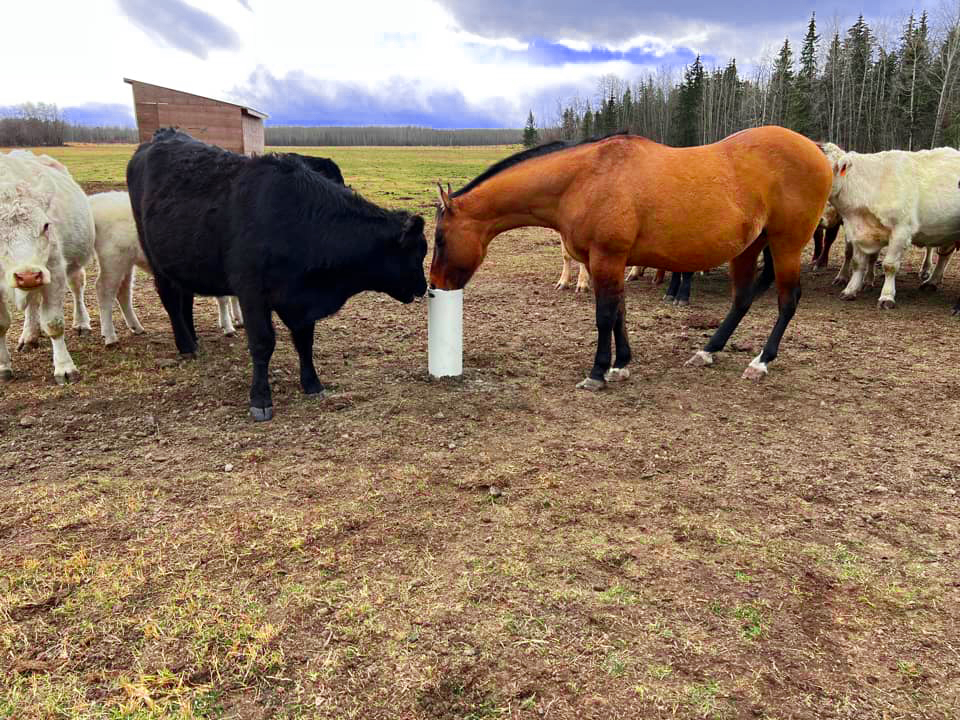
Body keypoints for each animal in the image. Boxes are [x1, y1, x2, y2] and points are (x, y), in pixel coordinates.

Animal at [0, 148, 94, 382]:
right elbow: (1, 324)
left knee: (77, 288)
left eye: (45, 225)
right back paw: (29, 336)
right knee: (32, 302)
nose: (28, 275)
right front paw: (3, 367)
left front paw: (65, 368)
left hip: (72, 266)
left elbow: (53, 323)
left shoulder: (54, 272)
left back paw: (82, 323)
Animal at [88, 191, 244, 346]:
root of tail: (95, 201)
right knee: (104, 290)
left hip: (126, 262)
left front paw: (239, 319)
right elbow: (224, 299)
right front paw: (228, 327)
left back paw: (136, 327)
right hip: (112, 259)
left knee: (123, 292)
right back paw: (110, 336)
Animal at [127, 129, 428, 422]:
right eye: (415, 254)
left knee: (185, 297)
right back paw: (186, 345)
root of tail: (162, 136)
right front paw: (260, 400)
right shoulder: (252, 294)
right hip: (156, 259)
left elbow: (305, 341)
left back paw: (192, 340)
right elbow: (262, 343)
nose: (423, 287)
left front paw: (312, 383)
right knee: (170, 299)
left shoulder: (300, 301)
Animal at [430, 126, 832, 390]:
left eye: (440, 238)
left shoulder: (606, 258)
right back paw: (707, 351)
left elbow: (605, 315)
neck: (583, 179)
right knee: (743, 299)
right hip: (749, 247)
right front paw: (621, 364)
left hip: (786, 244)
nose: (434, 285)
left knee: (787, 301)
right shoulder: (608, 262)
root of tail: (815, 149)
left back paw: (760, 362)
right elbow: (619, 312)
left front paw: (597, 373)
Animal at [820, 142, 960, 308]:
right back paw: (932, 282)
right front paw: (850, 289)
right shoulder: (857, 231)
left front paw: (886, 296)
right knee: (945, 255)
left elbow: (889, 265)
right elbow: (858, 262)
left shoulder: (901, 231)